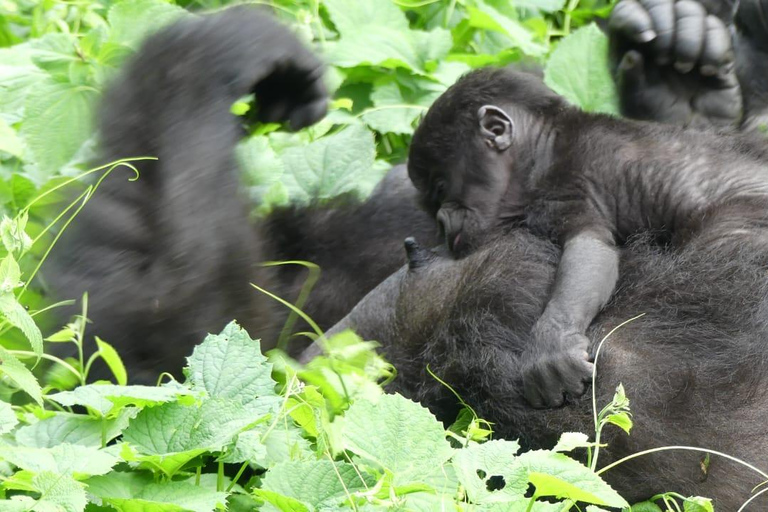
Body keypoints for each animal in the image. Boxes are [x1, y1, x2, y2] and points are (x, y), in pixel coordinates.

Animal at [406, 63, 768, 408]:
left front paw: (552, 343)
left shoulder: (561, 190)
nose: (441, 223)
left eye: (441, 187)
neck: (543, 145)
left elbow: (589, 250)